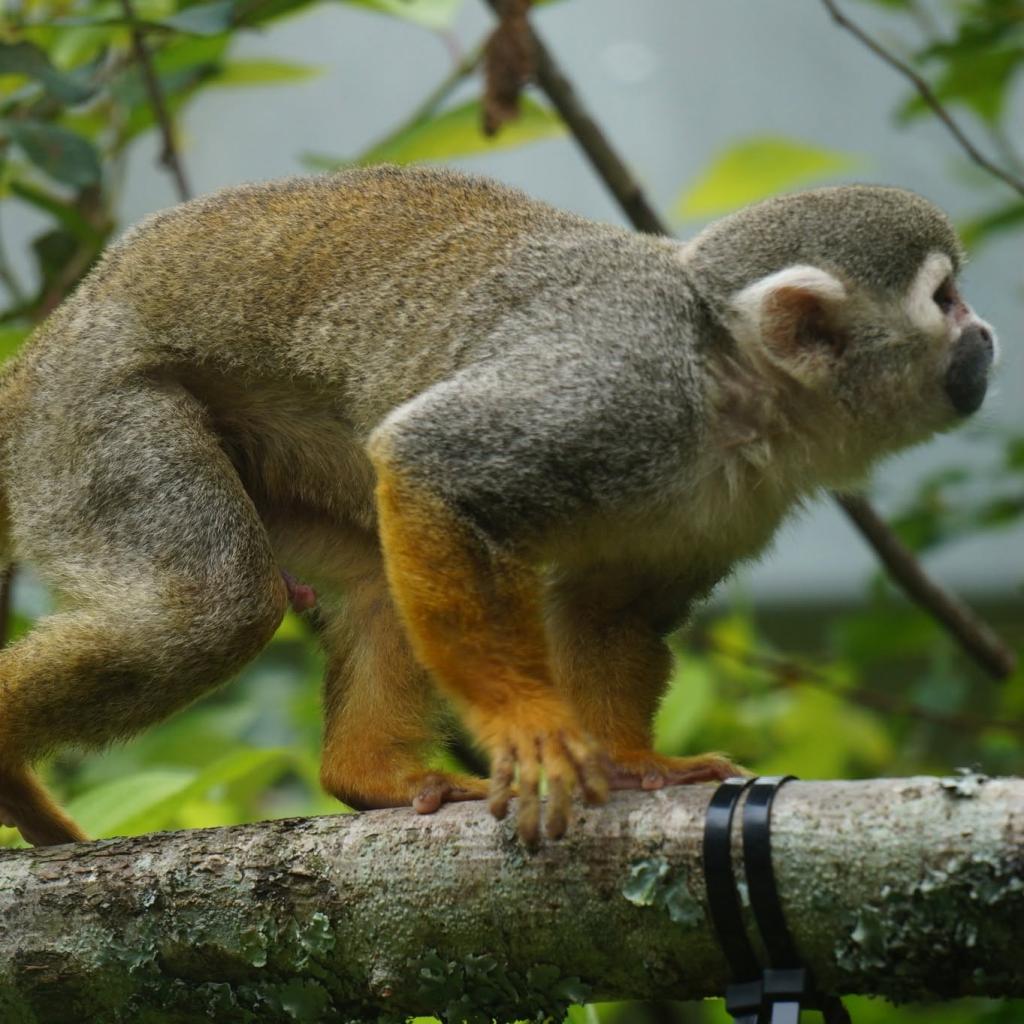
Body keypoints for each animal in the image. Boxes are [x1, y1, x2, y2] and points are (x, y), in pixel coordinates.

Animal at [0, 166, 997, 848]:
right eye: (944, 299)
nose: (986, 335)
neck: (731, 384)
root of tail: (51, 336)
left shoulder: (741, 497)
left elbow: (610, 609)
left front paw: (634, 760)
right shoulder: (618, 389)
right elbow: (431, 463)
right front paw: (527, 724)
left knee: (372, 575)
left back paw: (369, 775)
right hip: (91, 416)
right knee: (214, 610)